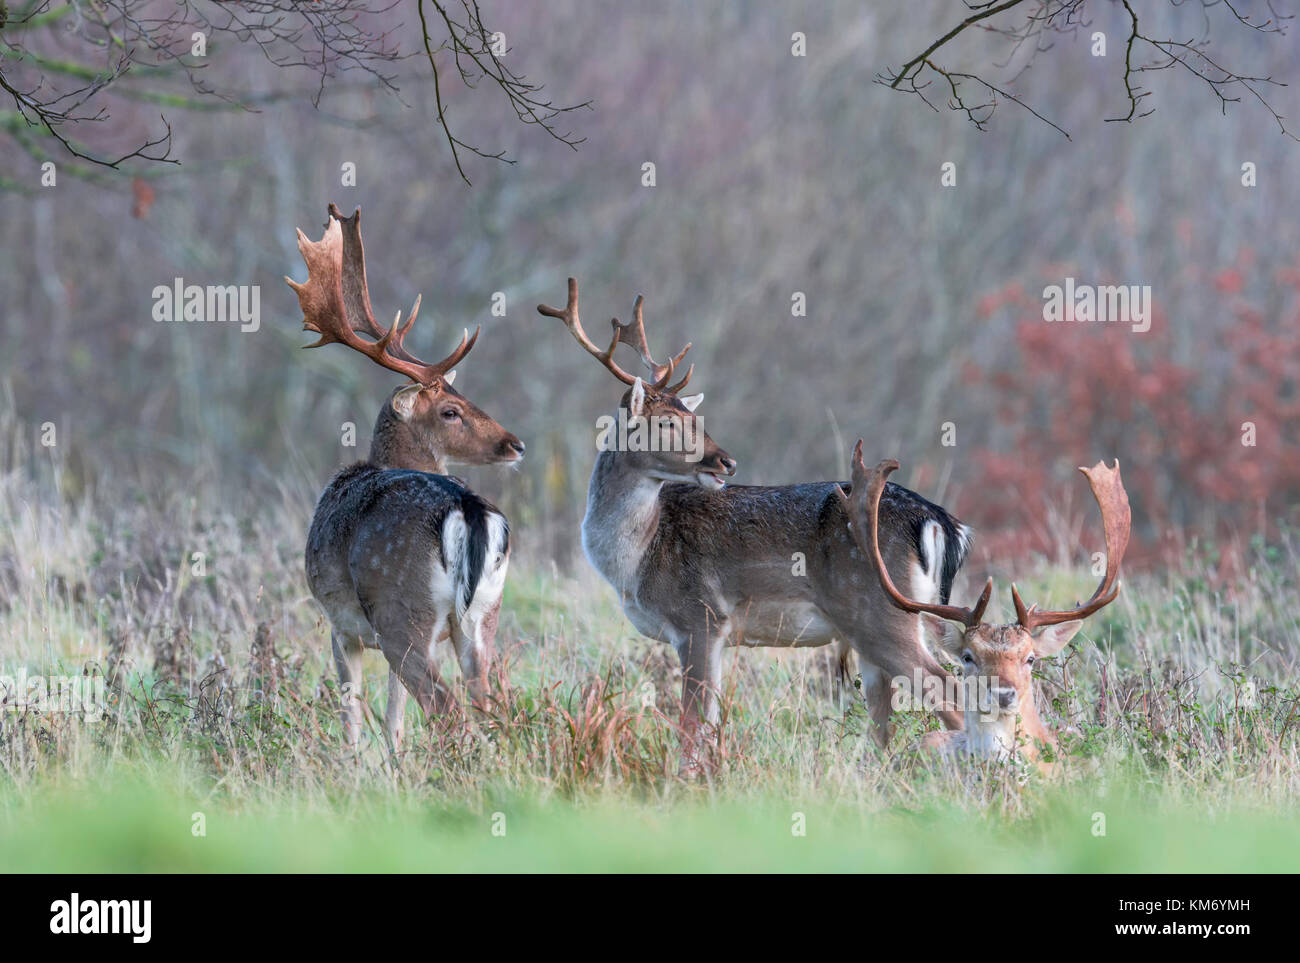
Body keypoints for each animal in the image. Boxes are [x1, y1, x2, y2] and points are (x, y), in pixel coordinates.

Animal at [287, 201, 525, 743]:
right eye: (452, 409)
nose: (515, 443)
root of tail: (468, 510)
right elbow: (394, 721)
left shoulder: (341, 626)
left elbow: (352, 719)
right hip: (482, 617)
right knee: (489, 706)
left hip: (401, 611)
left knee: (447, 709)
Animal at [533, 278, 972, 774]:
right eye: (666, 422)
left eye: (693, 417)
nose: (727, 461)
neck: (638, 559)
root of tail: (939, 522)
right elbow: (709, 721)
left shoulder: (700, 616)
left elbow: (691, 727)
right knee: (888, 720)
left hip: (881, 615)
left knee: (951, 693)